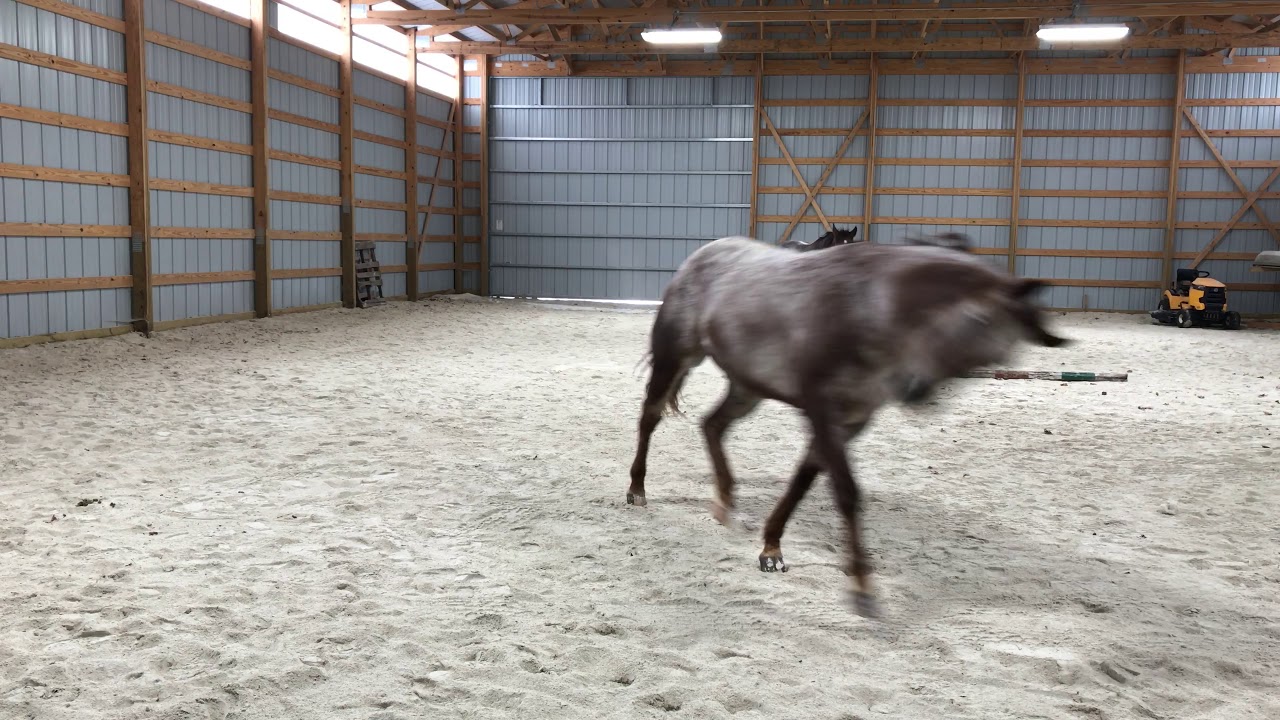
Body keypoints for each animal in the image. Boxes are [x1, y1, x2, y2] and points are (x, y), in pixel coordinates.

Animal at [625, 236, 1069, 617]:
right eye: (975, 318)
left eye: (996, 357)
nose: (915, 391)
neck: (865, 308)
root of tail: (701, 256)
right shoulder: (822, 410)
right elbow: (847, 493)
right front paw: (862, 589)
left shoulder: (851, 420)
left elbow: (802, 482)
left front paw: (771, 550)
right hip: (676, 355)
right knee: (650, 416)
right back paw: (637, 490)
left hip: (747, 386)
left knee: (712, 425)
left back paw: (724, 505)